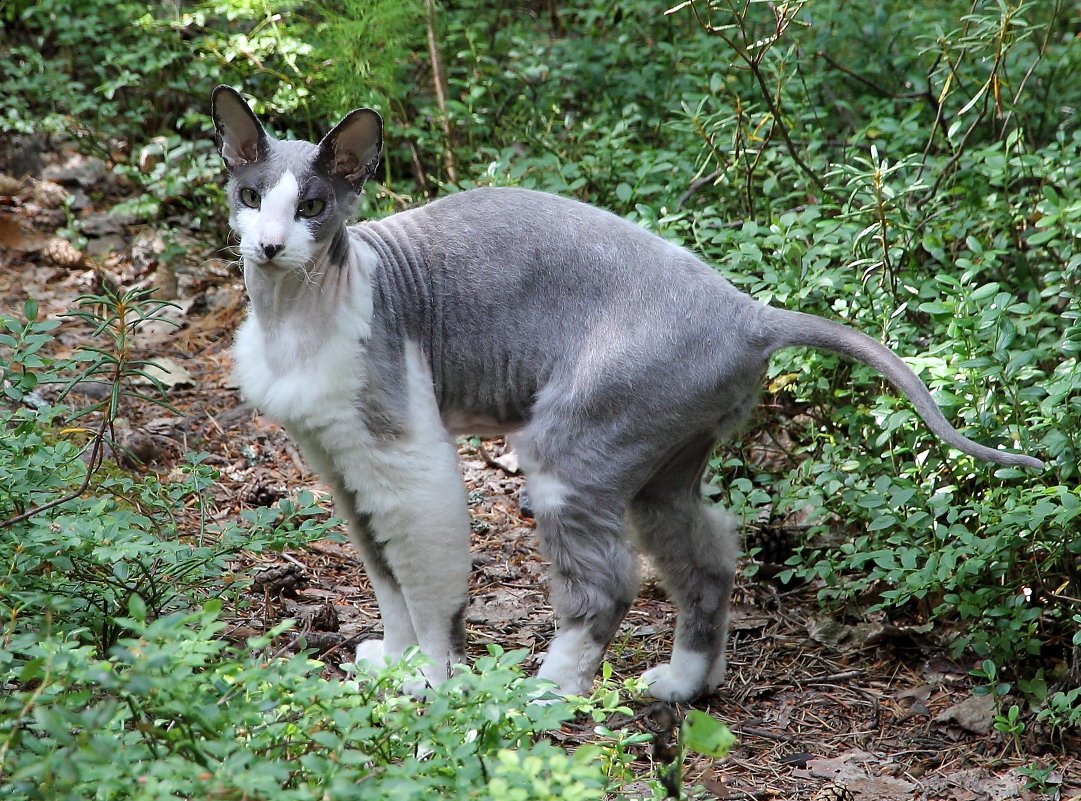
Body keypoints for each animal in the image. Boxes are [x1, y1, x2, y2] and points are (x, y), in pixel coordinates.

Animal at [206, 84, 1042, 704]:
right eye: (249, 196)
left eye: (313, 207)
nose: (269, 246)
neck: (292, 319)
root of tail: (751, 311)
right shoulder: (341, 463)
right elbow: (385, 579)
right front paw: (394, 666)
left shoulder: (405, 458)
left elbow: (429, 588)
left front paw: (431, 685)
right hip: (659, 469)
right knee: (708, 558)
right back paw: (682, 685)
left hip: (568, 451)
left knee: (608, 584)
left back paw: (542, 693)